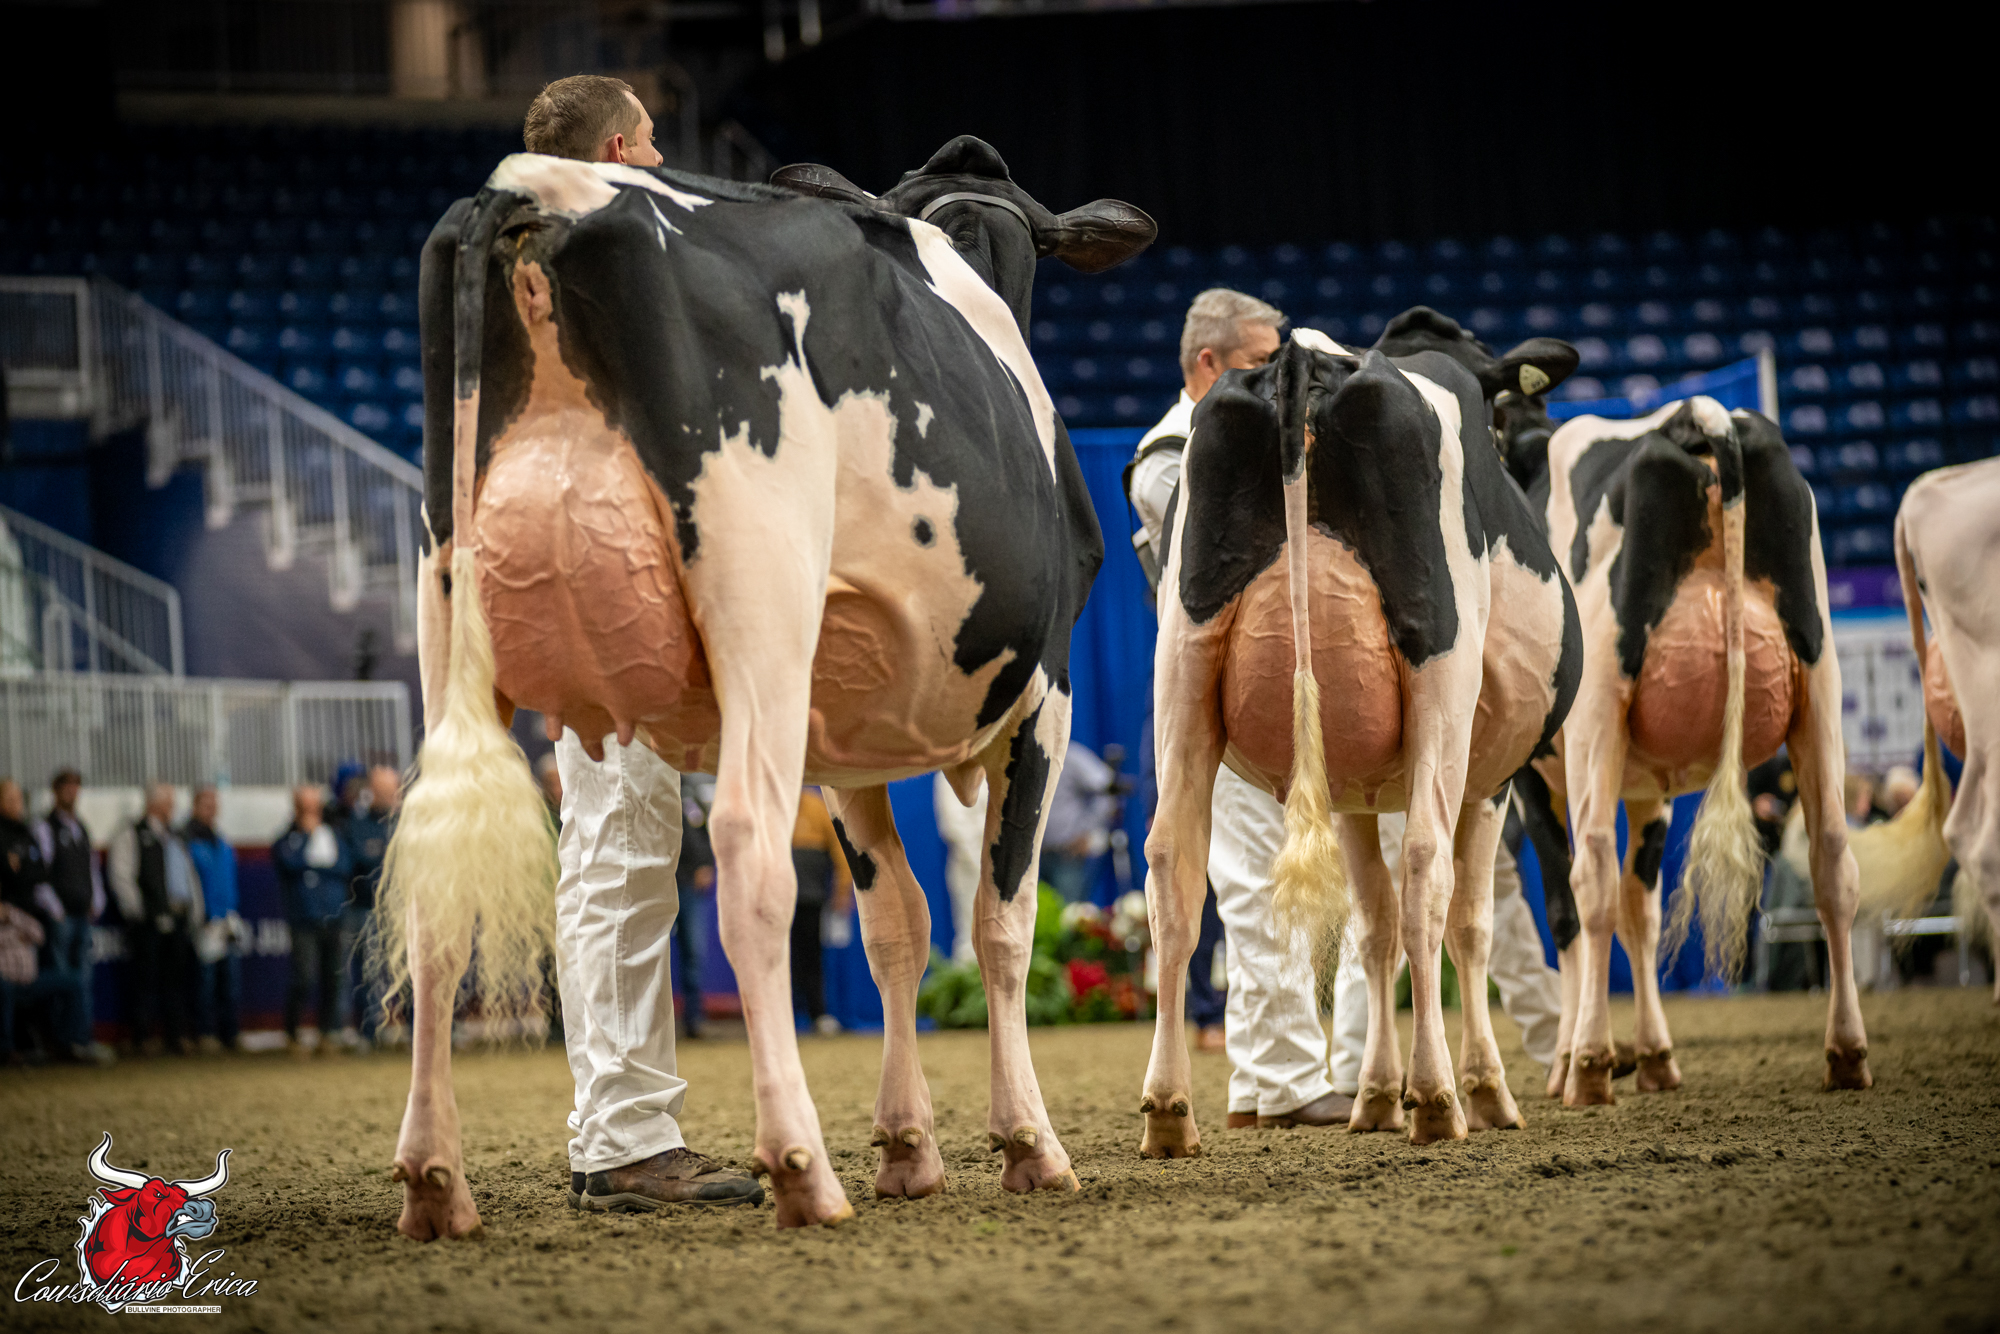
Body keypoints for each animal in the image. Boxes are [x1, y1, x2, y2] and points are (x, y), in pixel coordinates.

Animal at [382, 136, 1154, 1234]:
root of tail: (539, 187)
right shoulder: (1046, 692)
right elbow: (999, 924)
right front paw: (1027, 1143)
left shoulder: (846, 741)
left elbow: (895, 926)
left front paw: (909, 1146)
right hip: (762, 606)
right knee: (750, 852)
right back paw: (799, 1165)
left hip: (451, 608)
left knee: (436, 877)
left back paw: (435, 1181)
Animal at [1138, 316, 1584, 1152]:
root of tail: (1304, 361)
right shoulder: (1490, 779)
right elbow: (1465, 926)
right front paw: (1479, 1091)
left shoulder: (1349, 790)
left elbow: (1371, 928)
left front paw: (1375, 1096)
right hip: (1440, 668)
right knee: (1427, 871)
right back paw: (1440, 1099)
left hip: (1181, 664)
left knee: (1172, 868)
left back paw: (1170, 1111)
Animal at [1505, 393, 1872, 1104]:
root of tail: (1696, 415)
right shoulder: (1652, 783)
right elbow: (1641, 911)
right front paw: (1654, 1055)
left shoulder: (1538, 776)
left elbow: (1569, 912)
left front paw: (1572, 1058)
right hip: (1819, 681)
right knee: (1834, 860)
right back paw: (1847, 1052)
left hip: (1597, 706)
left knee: (1591, 875)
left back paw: (1589, 1065)